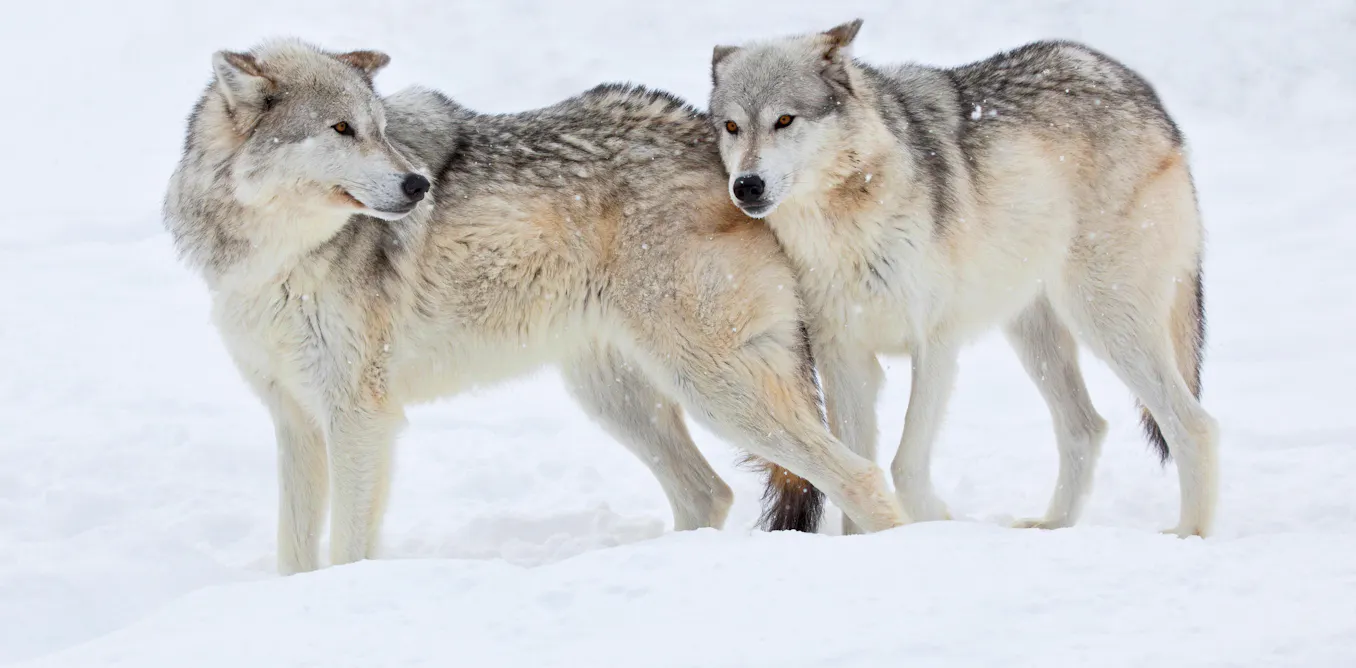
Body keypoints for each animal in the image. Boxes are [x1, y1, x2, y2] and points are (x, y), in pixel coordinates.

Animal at [164, 39, 907, 574]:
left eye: (377, 129)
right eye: (341, 129)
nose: (417, 185)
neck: (274, 259)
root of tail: (726, 151)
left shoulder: (358, 418)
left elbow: (345, 550)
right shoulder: (294, 419)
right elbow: (294, 553)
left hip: (713, 389)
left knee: (862, 475)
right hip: (614, 394)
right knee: (710, 491)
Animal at [708, 20, 1219, 537]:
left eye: (784, 120)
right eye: (732, 127)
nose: (746, 186)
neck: (844, 223)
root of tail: (1139, 89)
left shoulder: (936, 344)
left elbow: (903, 466)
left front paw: (936, 522)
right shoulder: (844, 356)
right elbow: (856, 469)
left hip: (1104, 319)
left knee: (1194, 424)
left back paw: (1188, 535)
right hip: (1033, 334)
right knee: (1086, 426)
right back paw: (1052, 526)